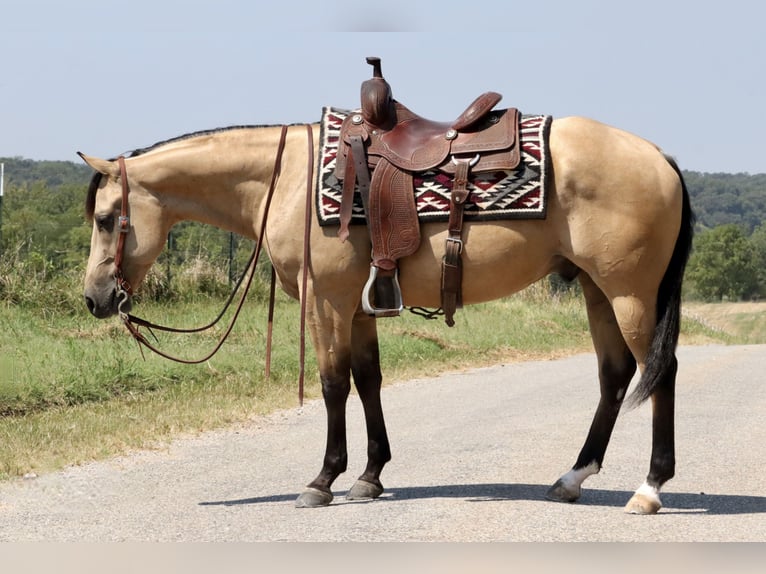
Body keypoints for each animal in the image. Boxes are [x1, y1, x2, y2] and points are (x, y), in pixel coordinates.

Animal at [78, 59, 696, 516]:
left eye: (107, 219)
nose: (95, 298)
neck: (292, 179)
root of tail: (659, 157)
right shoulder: (358, 307)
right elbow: (369, 381)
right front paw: (370, 477)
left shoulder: (327, 301)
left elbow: (332, 385)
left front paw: (322, 480)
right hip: (596, 290)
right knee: (615, 375)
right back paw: (572, 478)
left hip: (630, 293)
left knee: (658, 372)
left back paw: (649, 488)